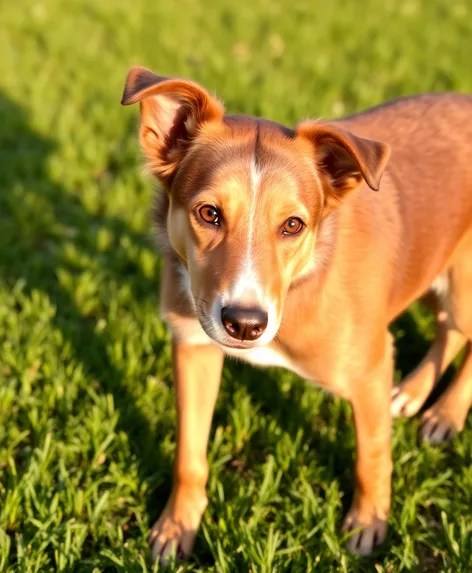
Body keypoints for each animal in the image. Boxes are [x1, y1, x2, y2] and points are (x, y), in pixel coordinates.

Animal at [121, 68, 472, 564]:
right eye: (209, 213)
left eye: (293, 225)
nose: (245, 324)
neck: (301, 283)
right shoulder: (193, 347)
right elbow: (189, 455)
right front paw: (176, 527)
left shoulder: (369, 370)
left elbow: (373, 454)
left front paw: (369, 523)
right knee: (450, 329)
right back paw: (414, 393)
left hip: (461, 284)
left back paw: (445, 413)